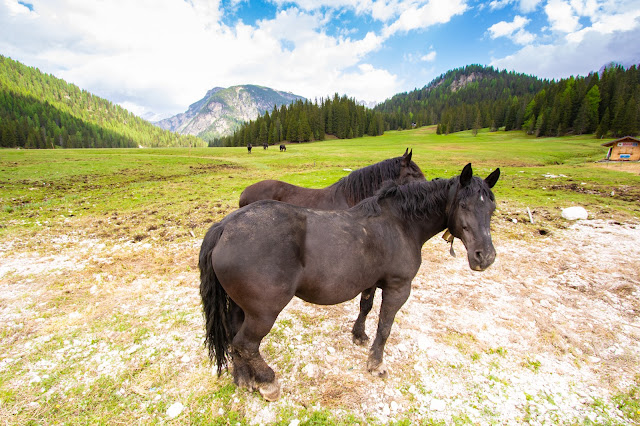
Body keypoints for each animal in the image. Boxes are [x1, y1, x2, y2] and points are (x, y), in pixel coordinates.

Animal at [199, 162, 500, 400]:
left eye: (491, 208)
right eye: (464, 205)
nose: (485, 256)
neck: (401, 224)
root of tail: (225, 226)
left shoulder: (371, 282)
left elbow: (365, 307)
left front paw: (358, 335)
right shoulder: (398, 288)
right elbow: (385, 327)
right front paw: (376, 363)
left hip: (241, 307)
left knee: (233, 337)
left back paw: (243, 378)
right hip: (263, 313)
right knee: (245, 344)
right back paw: (267, 381)